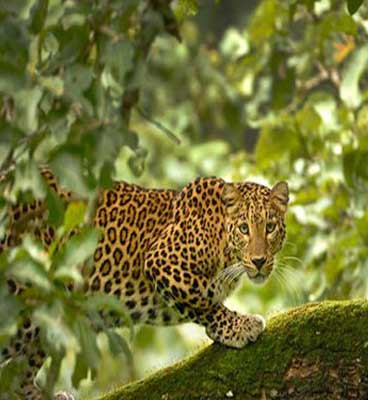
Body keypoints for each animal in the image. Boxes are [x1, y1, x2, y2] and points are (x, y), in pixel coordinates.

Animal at [0, 167, 288, 398]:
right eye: (244, 229)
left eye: (270, 228)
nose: (260, 261)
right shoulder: (161, 261)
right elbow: (203, 303)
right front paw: (240, 326)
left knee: (19, 375)